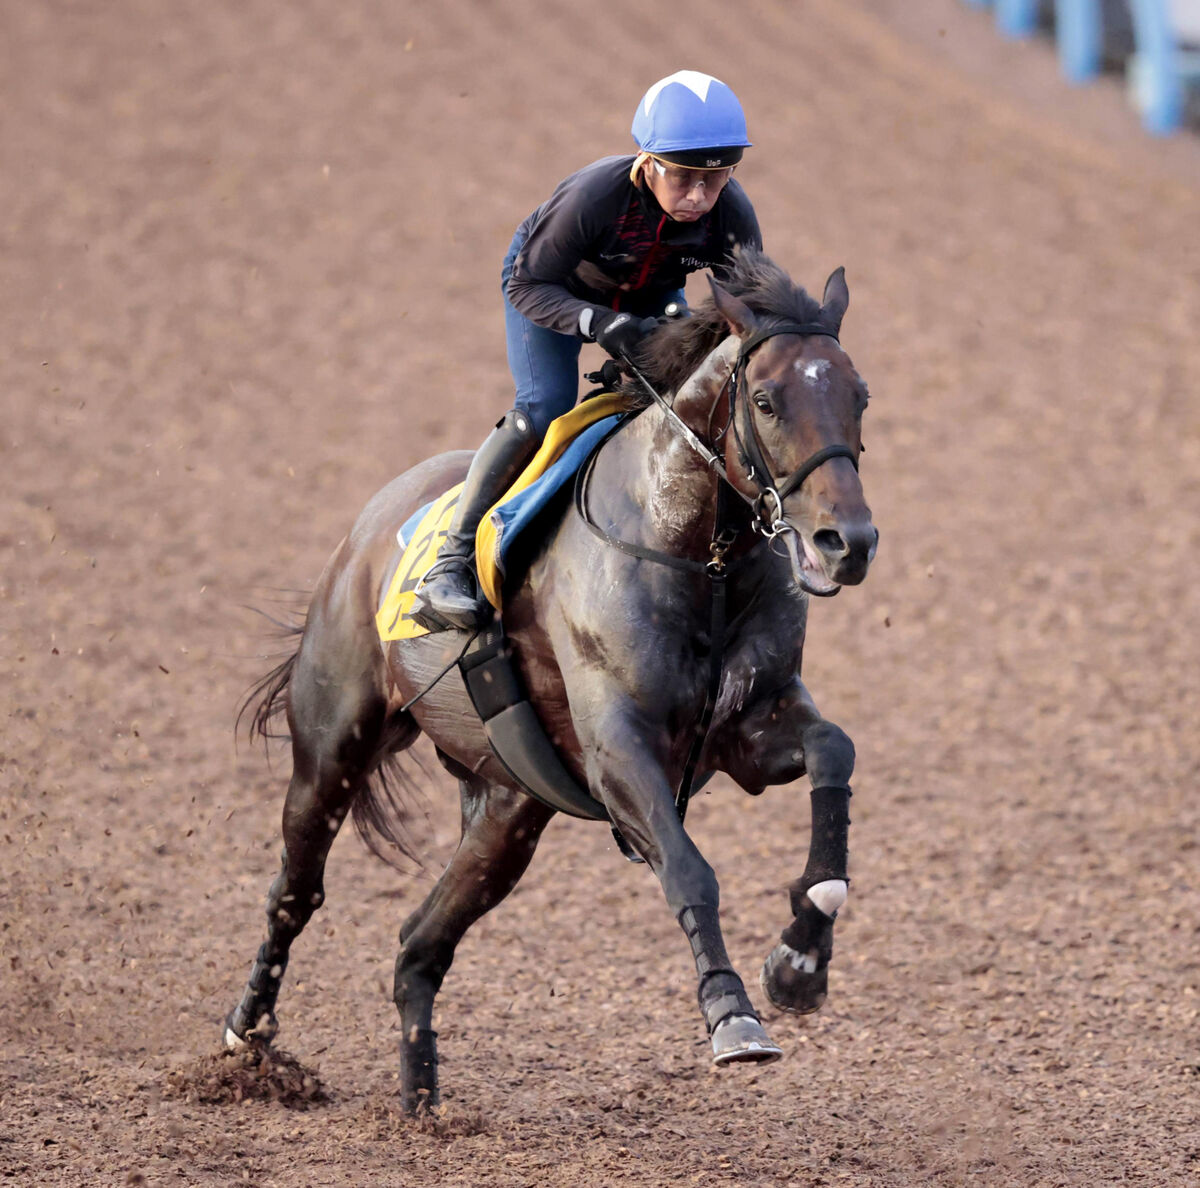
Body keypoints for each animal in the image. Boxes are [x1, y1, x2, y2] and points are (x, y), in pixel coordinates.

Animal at [225, 248, 878, 1113]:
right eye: (767, 400)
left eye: (859, 396)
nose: (850, 542)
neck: (692, 557)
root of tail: (367, 527)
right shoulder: (619, 755)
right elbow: (689, 869)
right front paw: (733, 1015)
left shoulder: (750, 729)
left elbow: (834, 752)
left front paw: (800, 960)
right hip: (332, 747)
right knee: (296, 890)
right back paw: (245, 1041)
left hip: (510, 810)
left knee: (418, 944)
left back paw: (422, 1105)